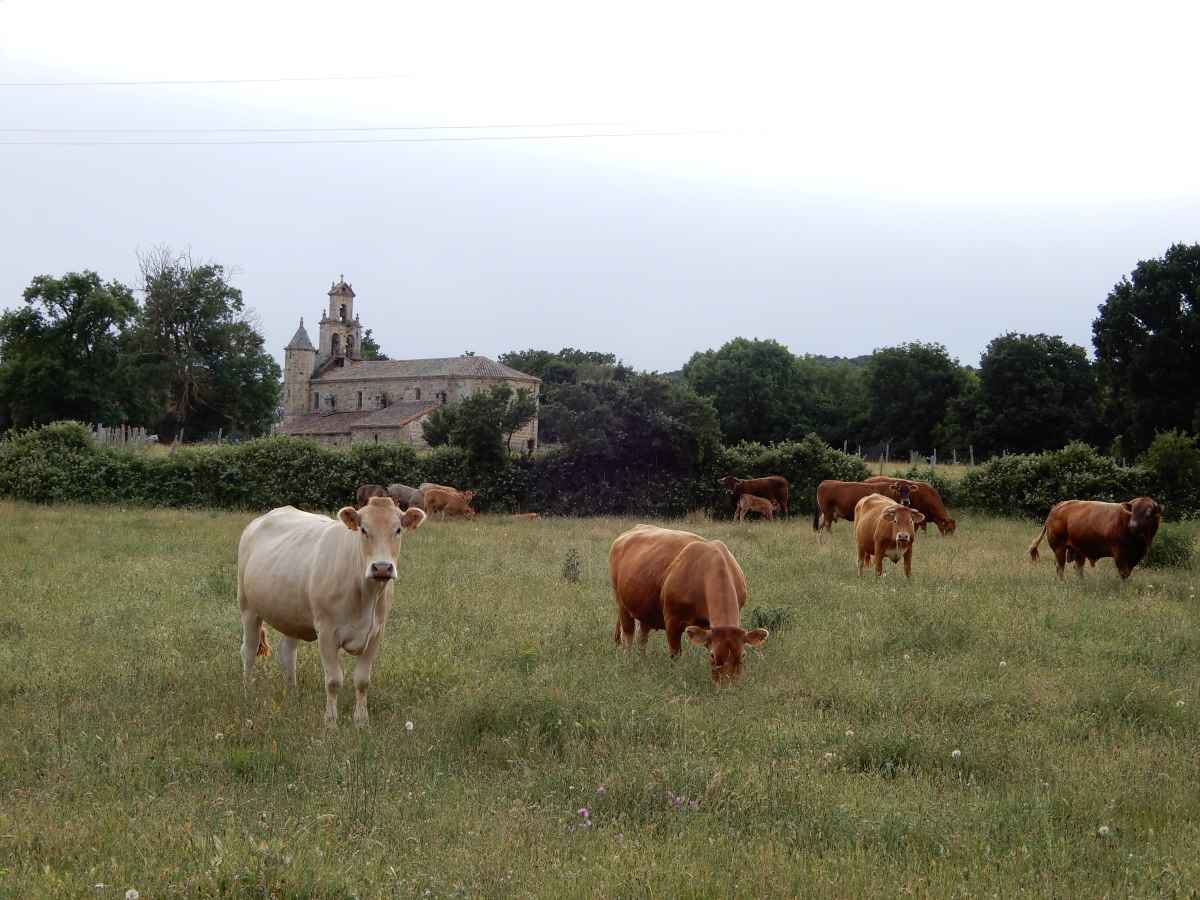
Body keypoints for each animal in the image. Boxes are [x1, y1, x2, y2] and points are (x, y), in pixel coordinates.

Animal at [237, 496, 426, 726]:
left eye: (398, 529)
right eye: (363, 529)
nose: (382, 567)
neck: (366, 595)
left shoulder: (376, 633)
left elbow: (362, 680)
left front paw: (361, 721)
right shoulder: (327, 632)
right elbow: (334, 680)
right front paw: (330, 722)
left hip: (291, 614)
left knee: (288, 653)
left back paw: (292, 693)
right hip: (248, 607)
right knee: (248, 650)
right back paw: (247, 692)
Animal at [608, 524, 768, 682]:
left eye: (743, 655)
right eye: (712, 655)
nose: (727, 685)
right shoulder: (672, 620)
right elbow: (675, 654)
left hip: (645, 609)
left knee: (642, 637)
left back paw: (642, 660)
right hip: (622, 605)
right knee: (628, 636)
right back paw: (629, 661)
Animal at [1028, 497, 1161, 580]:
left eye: (1148, 514)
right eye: (1132, 512)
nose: (1132, 525)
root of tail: (1057, 507)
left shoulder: (1136, 556)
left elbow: (1128, 572)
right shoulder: (1119, 553)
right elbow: (1123, 572)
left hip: (1078, 549)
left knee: (1078, 567)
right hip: (1059, 547)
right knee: (1060, 567)